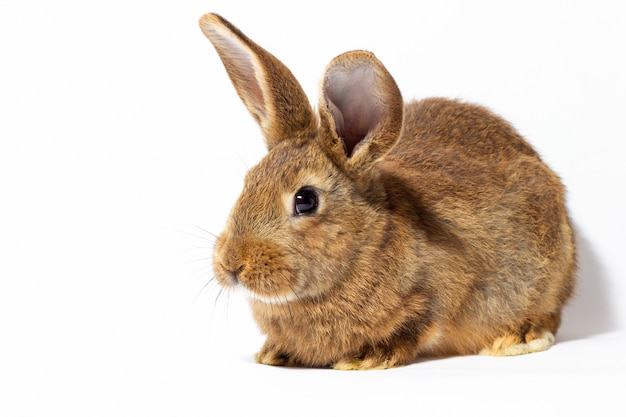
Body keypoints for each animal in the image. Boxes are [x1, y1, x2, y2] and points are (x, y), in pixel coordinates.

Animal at [200, 13, 576, 368]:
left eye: (305, 200)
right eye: (248, 181)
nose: (233, 264)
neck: (366, 242)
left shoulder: (440, 292)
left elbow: (418, 324)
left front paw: (367, 358)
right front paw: (275, 353)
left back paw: (516, 339)